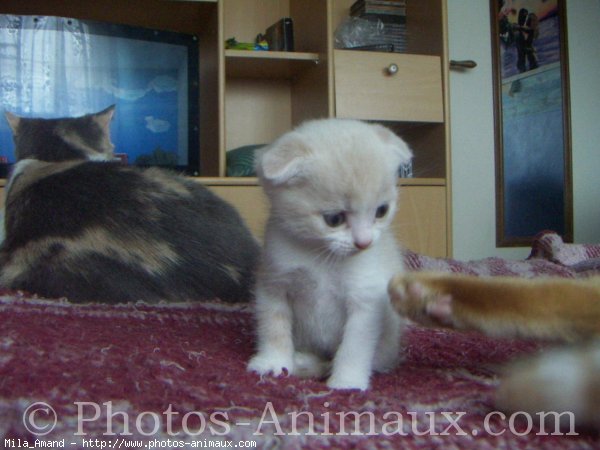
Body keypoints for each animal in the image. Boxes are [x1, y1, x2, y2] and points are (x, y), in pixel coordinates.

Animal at [247, 119, 412, 390]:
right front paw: (273, 362)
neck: (321, 255)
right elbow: (273, 326)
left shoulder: (366, 299)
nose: (364, 242)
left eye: (381, 211)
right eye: (334, 219)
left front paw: (347, 381)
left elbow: (354, 345)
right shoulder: (273, 283)